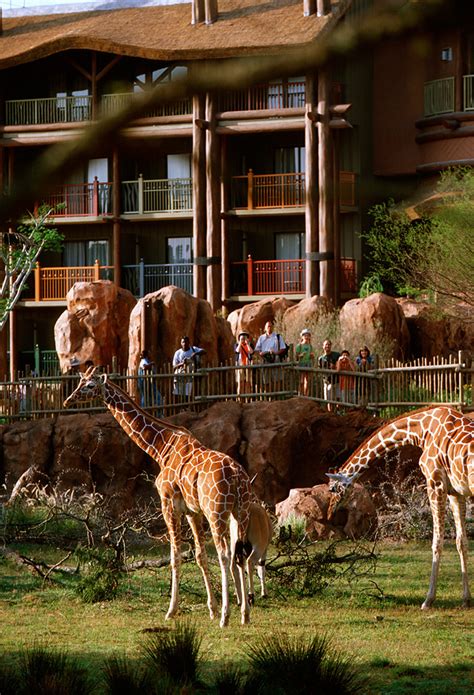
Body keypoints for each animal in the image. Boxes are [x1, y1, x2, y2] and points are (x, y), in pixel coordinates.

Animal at [65, 368, 256, 628]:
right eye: (80, 382)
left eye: (90, 385)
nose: (68, 400)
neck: (161, 447)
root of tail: (237, 477)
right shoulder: (192, 511)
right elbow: (199, 556)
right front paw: (211, 609)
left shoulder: (168, 504)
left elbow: (175, 556)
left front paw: (172, 610)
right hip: (241, 511)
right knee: (241, 553)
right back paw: (245, 614)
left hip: (216, 512)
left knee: (225, 554)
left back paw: (226, 617)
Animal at [328, 406, 472, 612]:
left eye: (332, 489)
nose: (330, 513)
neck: (421, 430)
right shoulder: (456, 491)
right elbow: (461, 542)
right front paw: (466, 600)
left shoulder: (435, 484)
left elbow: (437, 542)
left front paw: (428, 600)